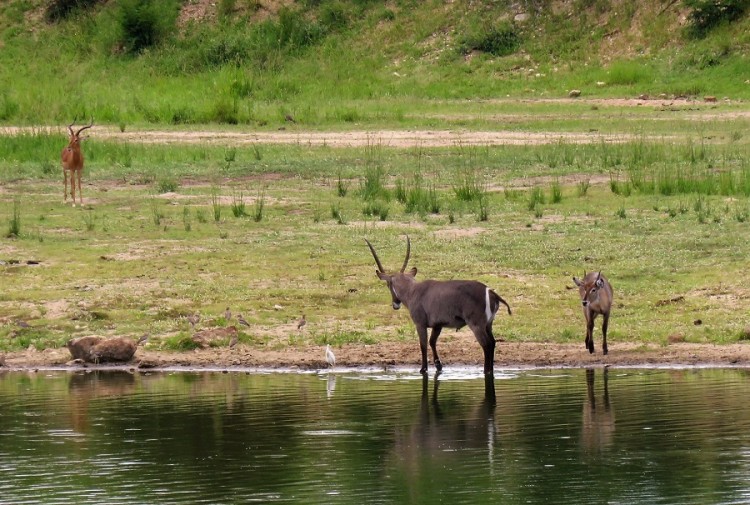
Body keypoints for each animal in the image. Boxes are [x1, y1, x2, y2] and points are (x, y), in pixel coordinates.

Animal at [364, 236, 512, 374]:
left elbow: (423, 344)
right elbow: (432, 342)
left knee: (486, 345)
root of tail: (491, 292)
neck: (412, 291)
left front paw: (423, 369)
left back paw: (486, 370)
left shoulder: (420, 324)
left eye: (388, 284)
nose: (395, 304)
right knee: (493, 343)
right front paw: (438, 366)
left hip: (476, 325)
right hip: (488, 324)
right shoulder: (438, 325)